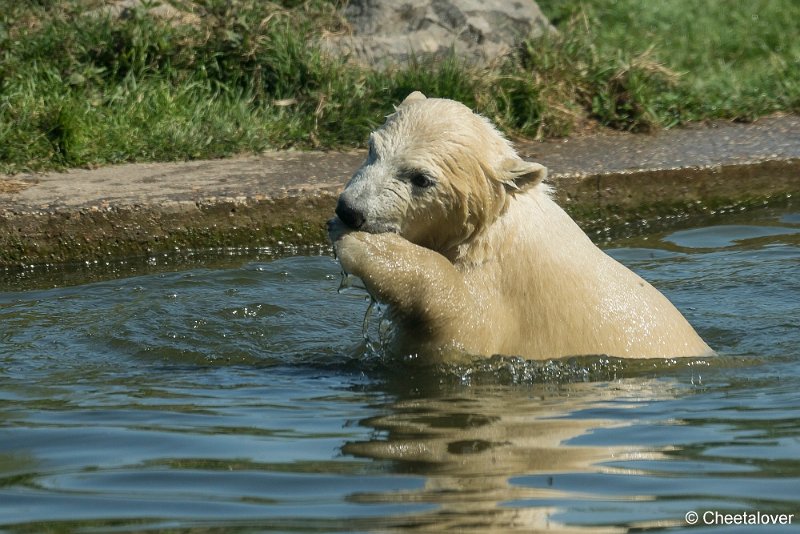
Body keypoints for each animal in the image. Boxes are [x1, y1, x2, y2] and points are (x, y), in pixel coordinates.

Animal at [328, 93, 716, 364]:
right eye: (372, 148)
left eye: (421, 178)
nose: (349, 211)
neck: (493, 230)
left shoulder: (504, 288)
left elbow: (460, 313)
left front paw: (360, 246)